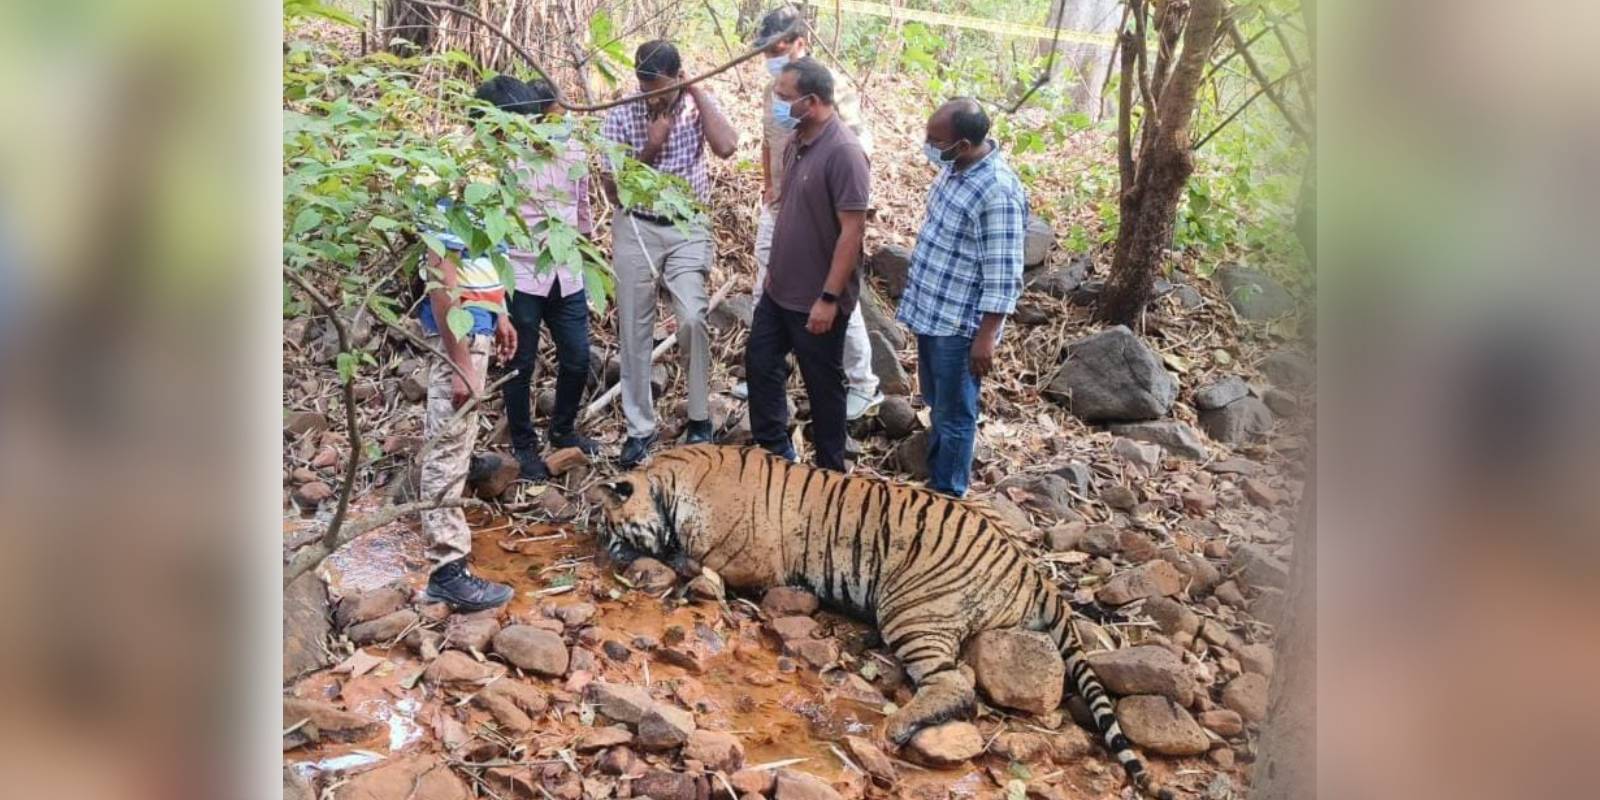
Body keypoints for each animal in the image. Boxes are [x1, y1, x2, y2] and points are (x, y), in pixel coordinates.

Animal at [594, 445, 1174, 800]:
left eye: (614, 526)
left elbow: (693, 563)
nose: (607, 550)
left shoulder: (750, 563)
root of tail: (1031, 567)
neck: (676, 480)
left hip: (909, 608)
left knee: (955, 683)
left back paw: (895, 728)